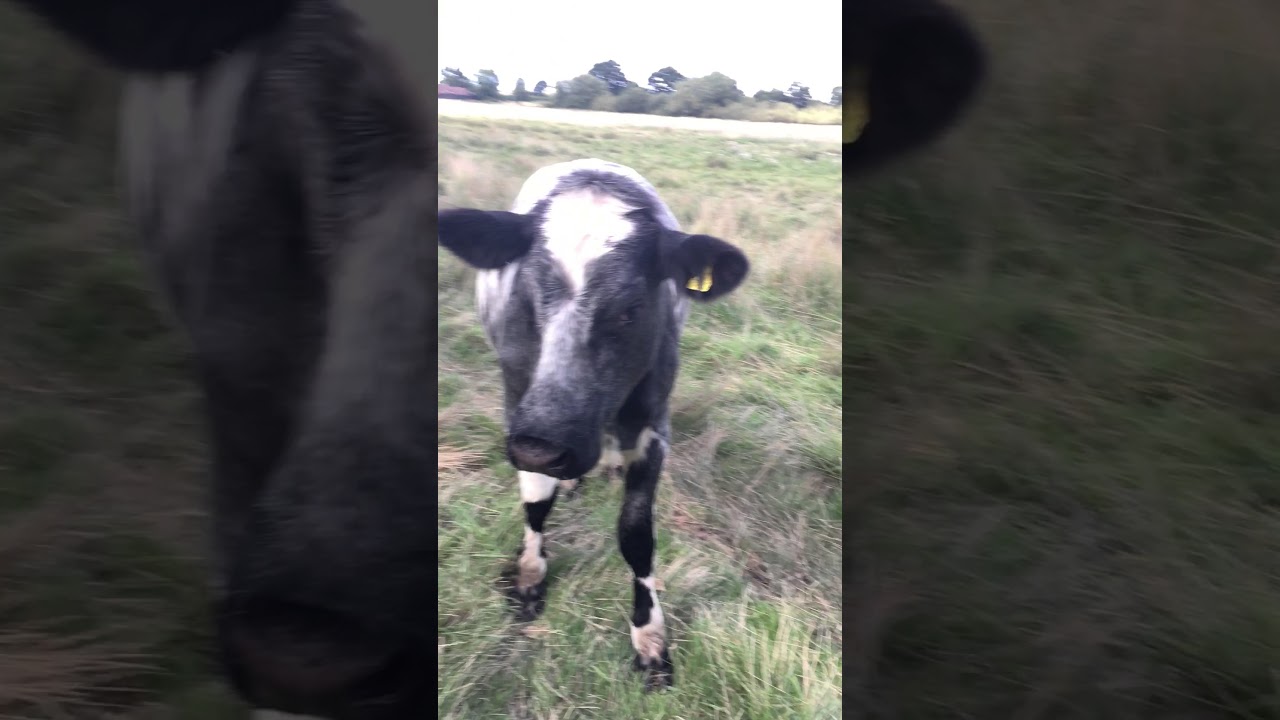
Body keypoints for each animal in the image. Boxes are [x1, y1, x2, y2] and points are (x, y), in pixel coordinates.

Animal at [3, 0, 986, 714]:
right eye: (529, 286)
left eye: (634, 301)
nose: (551, 439)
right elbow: (533, 500)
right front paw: (529, 574)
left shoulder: (651, 423)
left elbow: (636, 535)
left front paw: (650, 638)